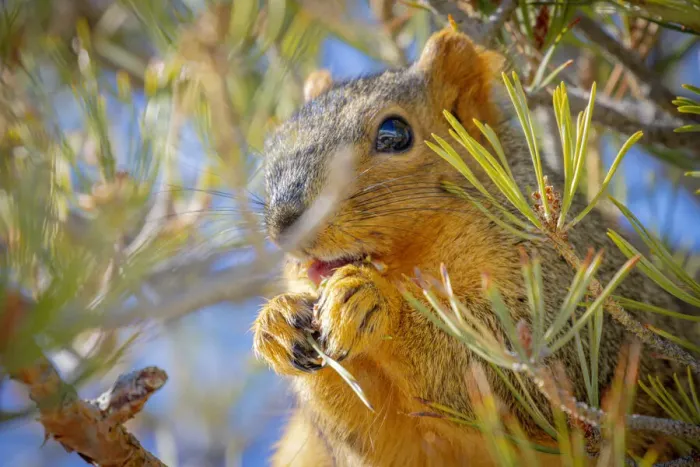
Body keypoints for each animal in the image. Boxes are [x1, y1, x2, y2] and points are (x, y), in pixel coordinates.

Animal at [252, 28, 699, 466]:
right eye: (275, 142)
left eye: (394, 133)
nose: (287, 224)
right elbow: (379, 442)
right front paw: (277, 320)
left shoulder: (567, 287)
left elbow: (523, 369)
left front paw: (377, 301)